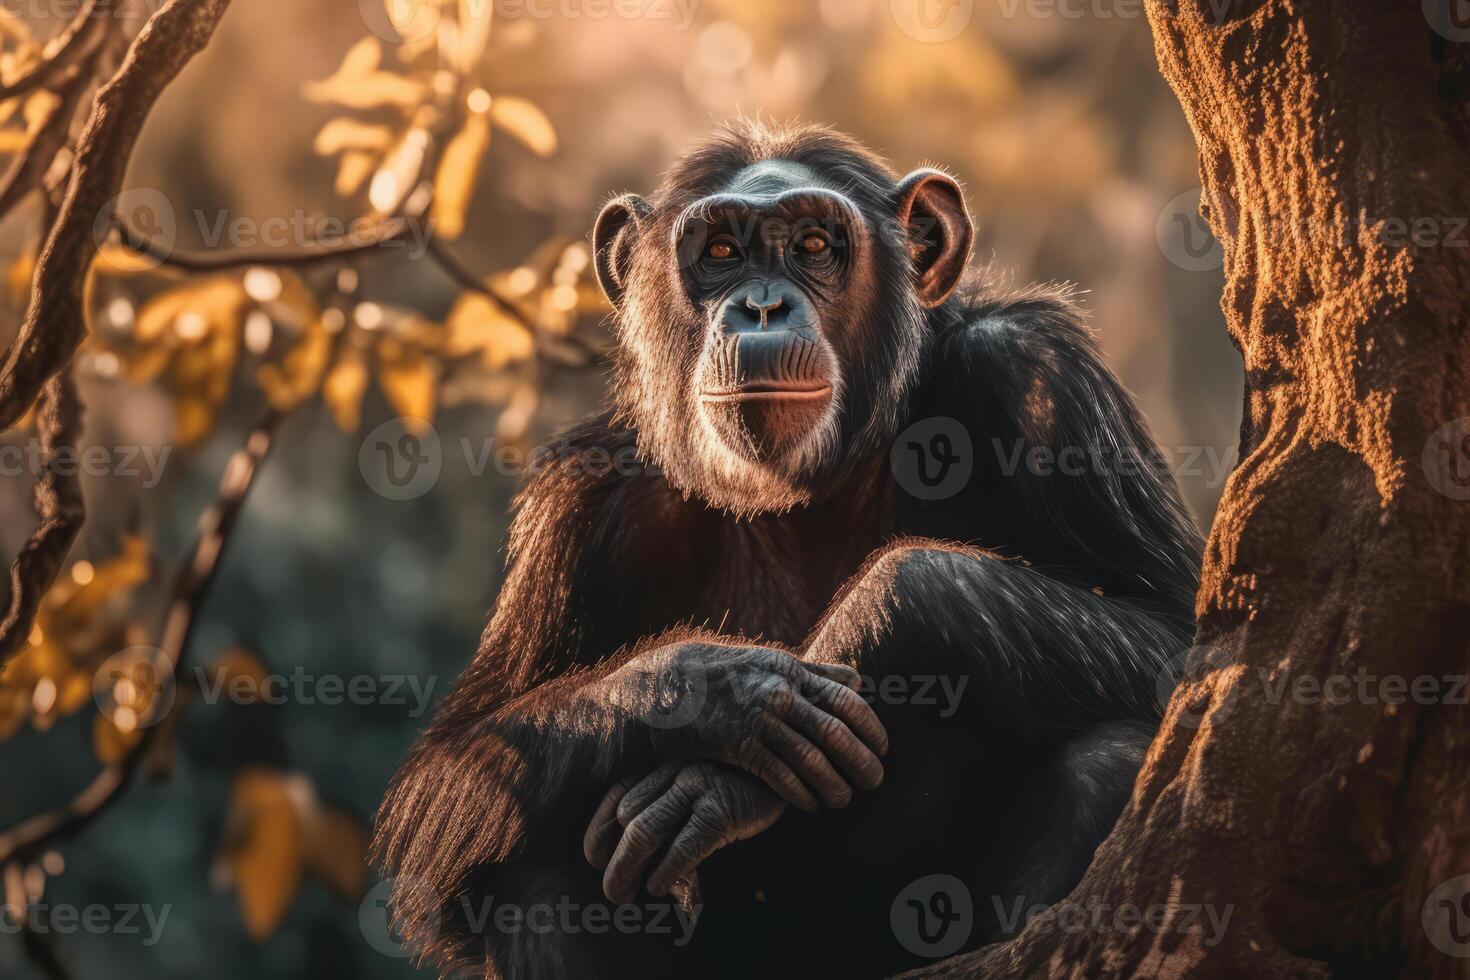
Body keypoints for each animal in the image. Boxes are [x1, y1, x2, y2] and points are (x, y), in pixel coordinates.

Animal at [373, 122, 1199, 980]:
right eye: (721, 252)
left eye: (811, 245)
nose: (762, 306)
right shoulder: (577, 499)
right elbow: (450, 772)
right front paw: (712, 690)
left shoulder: (1040, 374)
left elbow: (1176, 634)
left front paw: (726, 773)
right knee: (528, 872)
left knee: (1107, 757)